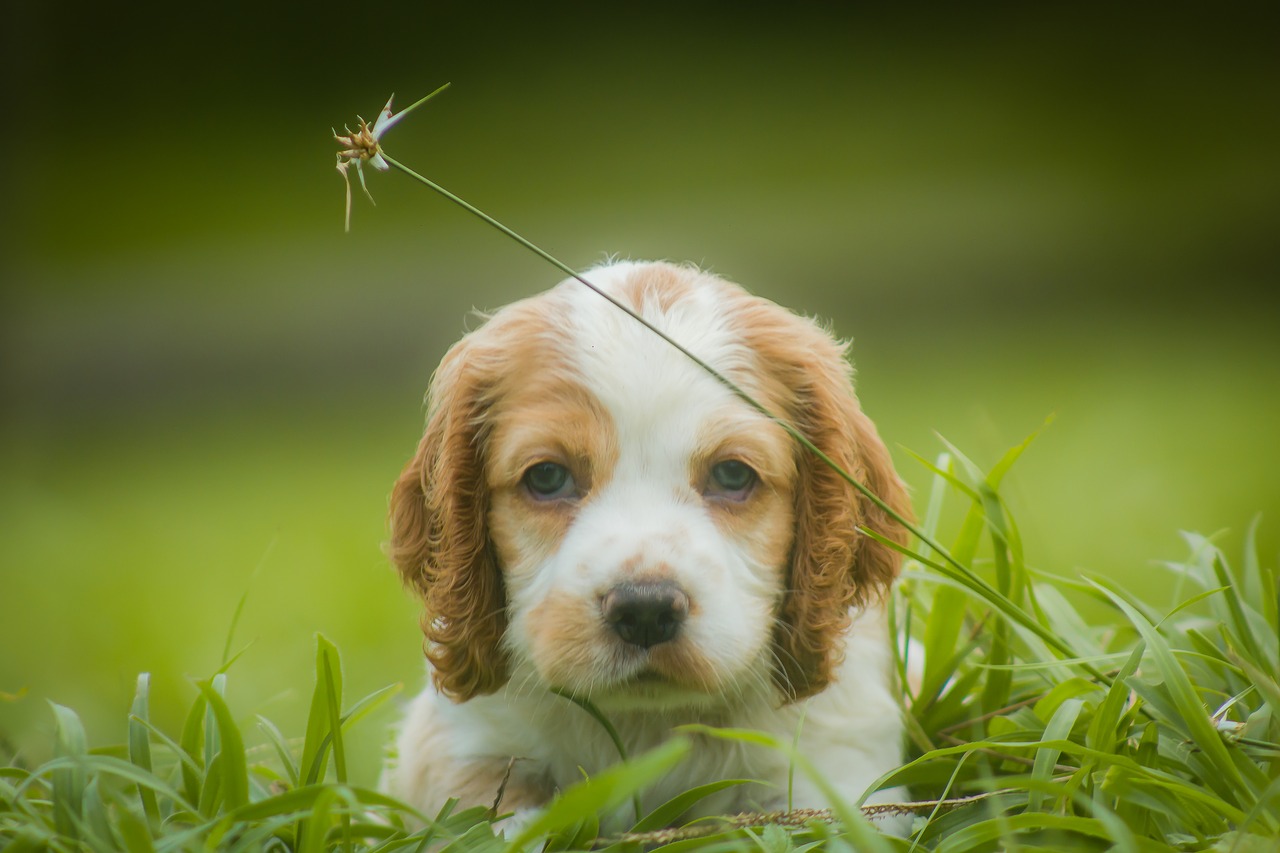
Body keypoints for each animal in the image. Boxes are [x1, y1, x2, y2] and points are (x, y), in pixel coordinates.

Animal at [378, 261, 911, 829]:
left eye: (732, 474)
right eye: (546, 477)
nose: (646, 612)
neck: (646, 723)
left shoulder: (837, 760)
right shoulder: (465, 747)